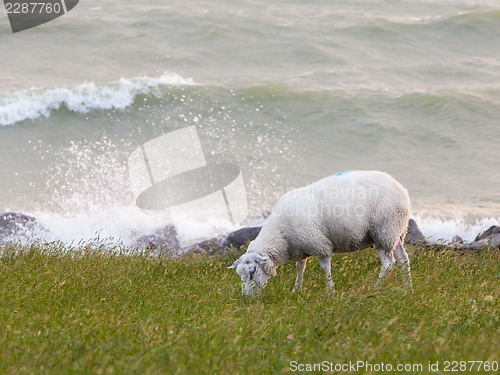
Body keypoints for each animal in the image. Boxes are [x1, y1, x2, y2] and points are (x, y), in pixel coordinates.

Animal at [229, 172, 412, 298]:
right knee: (403, 259)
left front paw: (330, 292)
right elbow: (300, 269)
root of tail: (403, 190)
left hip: (384, 231)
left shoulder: (320, 245)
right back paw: (407, 287)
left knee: (388, 263)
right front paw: (297, 289)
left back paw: (375, 287)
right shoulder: (300, 249)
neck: (281, 235)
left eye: (252, 272)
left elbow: (325, 270)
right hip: (396, 233)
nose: (246, 298)